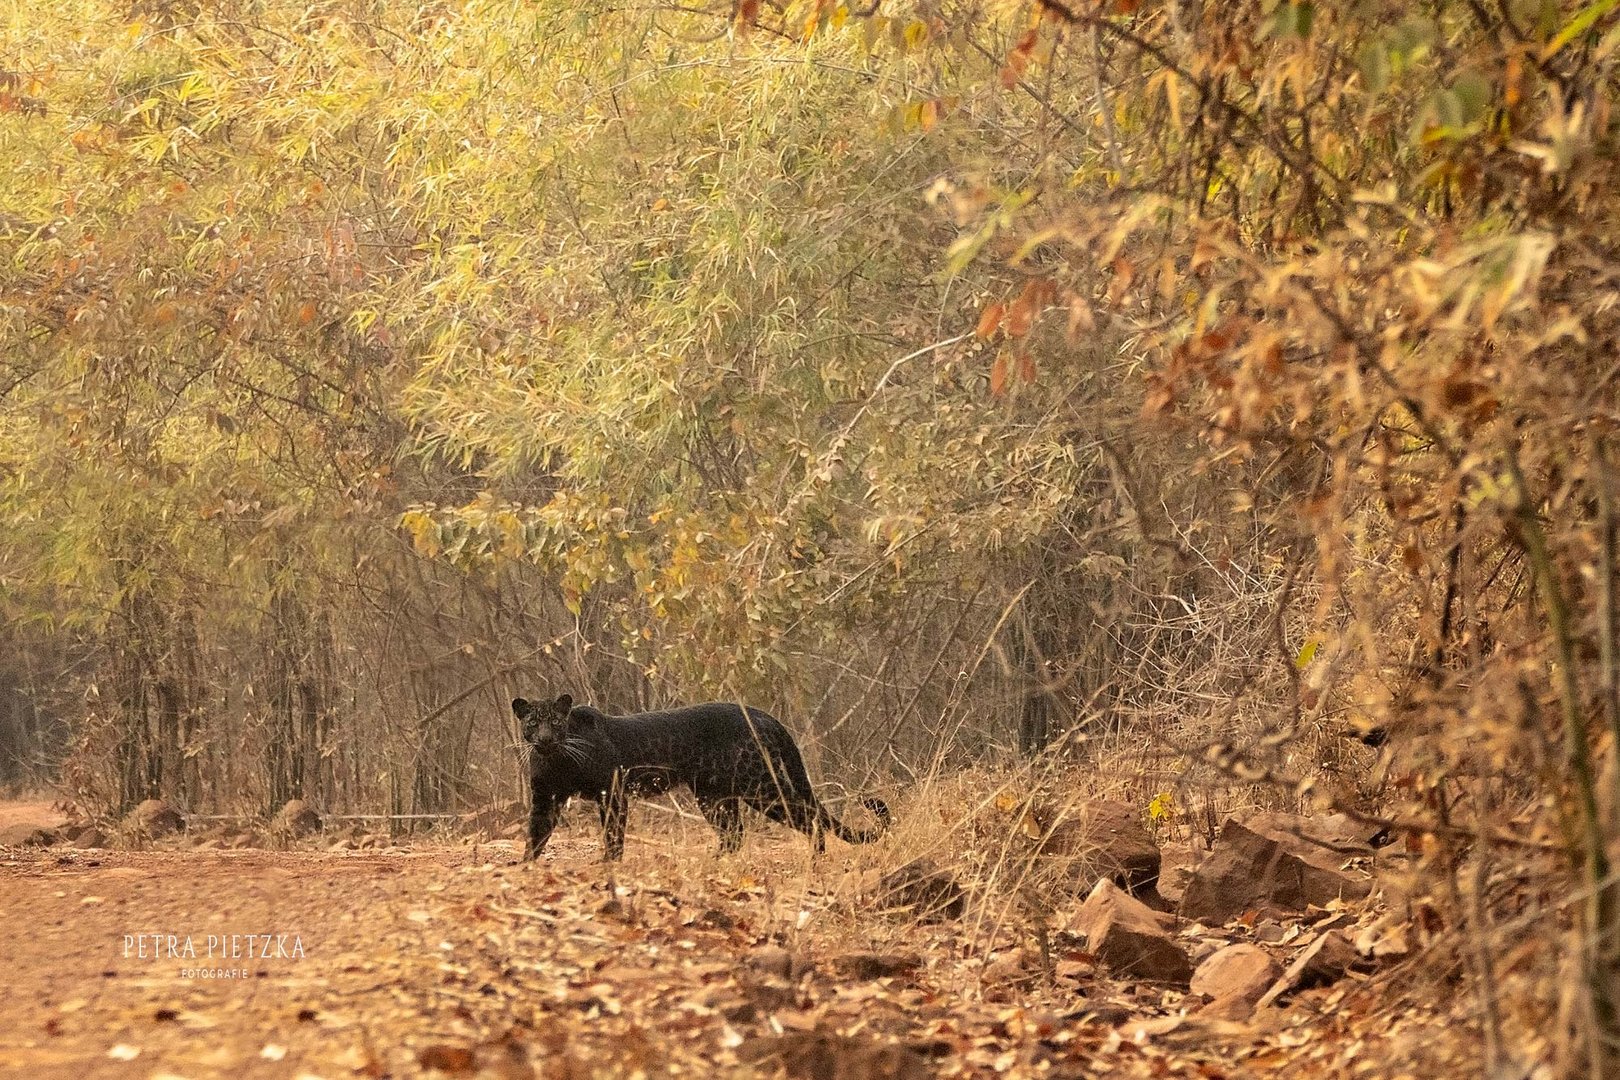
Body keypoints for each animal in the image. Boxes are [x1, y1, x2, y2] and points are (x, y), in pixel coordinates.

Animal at [511, 696, 894, 867]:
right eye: (532, 722)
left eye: (556, 723)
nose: (544, 738)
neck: (556, 760)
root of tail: (762, 714)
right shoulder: (545, 797)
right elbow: (536, 832)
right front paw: (526, 863)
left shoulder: (612, 792)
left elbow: (613, 831)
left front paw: (609, 862)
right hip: (714, 795)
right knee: (735, 833)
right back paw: (713, 859)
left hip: (759, 787)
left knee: (808, 816)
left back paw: (815, 858)